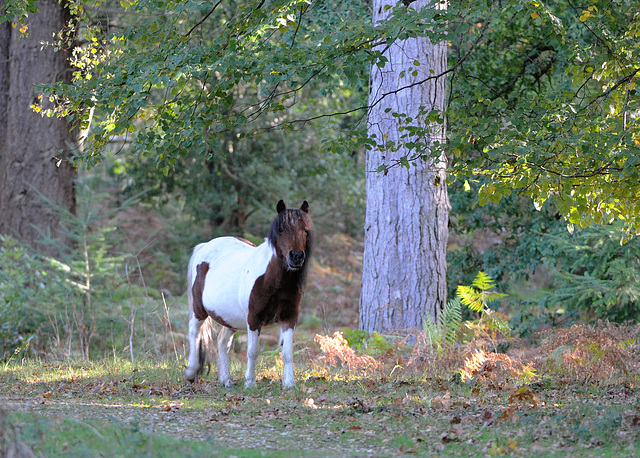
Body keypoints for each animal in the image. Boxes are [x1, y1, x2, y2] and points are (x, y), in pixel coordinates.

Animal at [184, 199, 314, 386]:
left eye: (305, 230)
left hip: (229, 319)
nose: (296, 256)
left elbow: (287, 353)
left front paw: (289, 384)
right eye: (281, 229)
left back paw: (226, 380)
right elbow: (252, 351)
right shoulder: (254, 320)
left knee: (222, 342)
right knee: (194, 332)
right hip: (199, 310)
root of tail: (205, 245)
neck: (272, 281)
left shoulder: (289, 319)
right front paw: (250, 383)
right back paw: (191, 372)